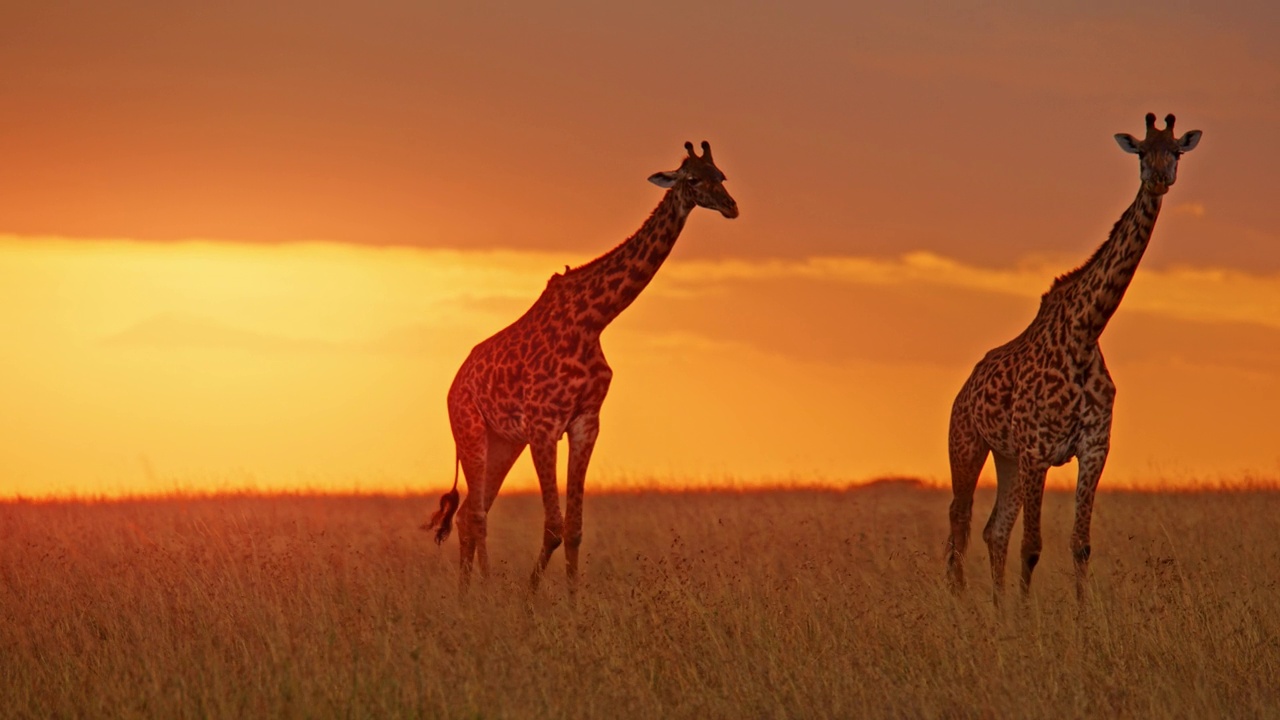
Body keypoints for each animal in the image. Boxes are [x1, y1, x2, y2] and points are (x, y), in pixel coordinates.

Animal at [422, 140, 737, 594]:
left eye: (721, 175)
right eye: (693, 179)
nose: (731, 206)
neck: (594, 319)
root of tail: (452, 386)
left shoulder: (586, 421)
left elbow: (574, 528)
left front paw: (573, 602)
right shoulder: (544, 425)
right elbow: (553, 526)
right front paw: (529, 597)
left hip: (504, 443)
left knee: (470, 513)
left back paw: (477, 593)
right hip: (471, 432)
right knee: (475, 515)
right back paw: (477, 595)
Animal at [942, 112, 1198, 602]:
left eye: (1176, 151)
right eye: (1141, 150)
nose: (1159, 179)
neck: (1085, 332)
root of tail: (963, 390)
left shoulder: (1094, 448)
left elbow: (1079, 545)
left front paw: (1078, 616)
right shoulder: (1038, 449)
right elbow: (1033, 545)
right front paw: (1028, 615)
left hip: (1006, 457)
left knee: (992, 530)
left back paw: (997, 607)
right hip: (967, 443)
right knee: (959, 525)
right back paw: (961, 605)